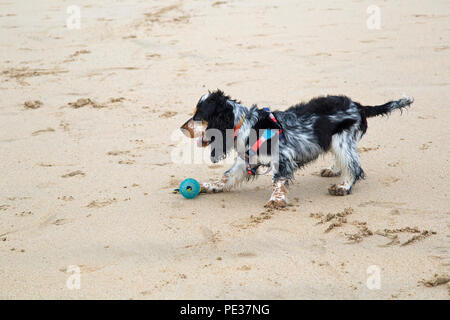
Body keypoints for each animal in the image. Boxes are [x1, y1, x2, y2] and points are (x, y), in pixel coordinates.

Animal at [181, 90, 414, 209]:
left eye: (198, 116)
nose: (182, 128)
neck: (246, 125)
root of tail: (358, 105)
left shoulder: (283, 157)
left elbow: (278, 180)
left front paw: (276, 200)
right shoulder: (245, 161)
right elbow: (226, 177)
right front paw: (208, 186)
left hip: (342, 140)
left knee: (354, 166)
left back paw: (343, 186)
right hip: (335, 141)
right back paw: (333, 170)